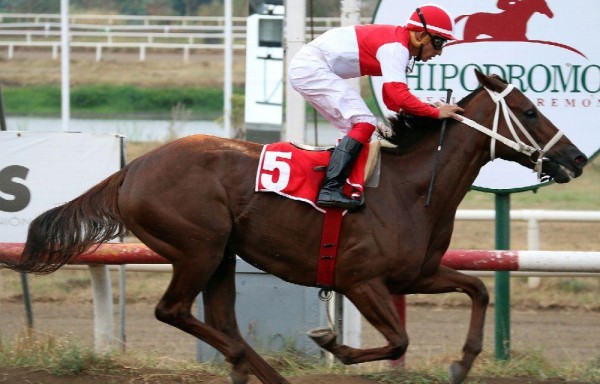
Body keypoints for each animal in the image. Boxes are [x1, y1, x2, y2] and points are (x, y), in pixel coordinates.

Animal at [2, 71, 588, 380]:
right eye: (530, 111)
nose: (578, 159)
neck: (410, 189)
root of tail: (132, 168)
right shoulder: (360, 280)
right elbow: (396, 339)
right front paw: (335, 344)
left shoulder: (414, 274)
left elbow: (478, 288)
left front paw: (463, 363)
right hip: (198, 247)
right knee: (175, 311)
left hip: (222, 255)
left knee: (224, 322)